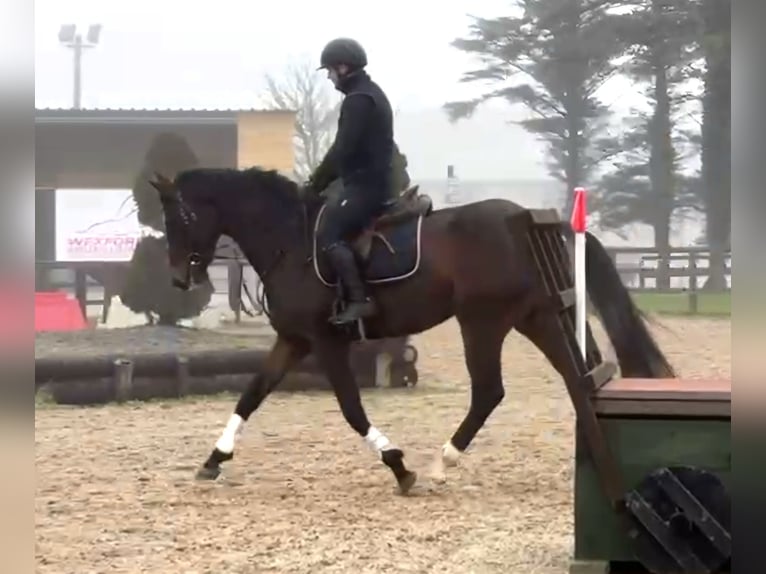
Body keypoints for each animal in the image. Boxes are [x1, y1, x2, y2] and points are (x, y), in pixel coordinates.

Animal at [148, 166, 675, 495]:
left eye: (180, 217)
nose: (177, 279)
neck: (290, 242)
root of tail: (525, 218)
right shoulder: (293, 340)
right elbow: (251, 394)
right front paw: (214, 459)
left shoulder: (326, 342)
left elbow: (352, 409)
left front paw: (398, 465)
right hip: (537, 317)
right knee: (575, 375)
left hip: (482, 322)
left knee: (490, 391)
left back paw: (443, 462)